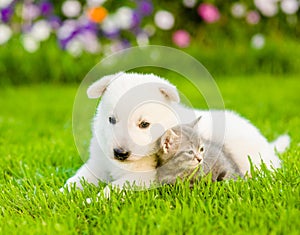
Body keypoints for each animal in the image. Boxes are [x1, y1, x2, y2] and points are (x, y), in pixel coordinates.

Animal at [63, 72, 290, 192]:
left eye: (144, 124)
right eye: (111, 120)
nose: (120, 153)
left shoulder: (145, 177)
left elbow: (112, 188)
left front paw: (92, 200)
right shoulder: (97, 164)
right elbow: (73, 181)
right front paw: (57, 196)